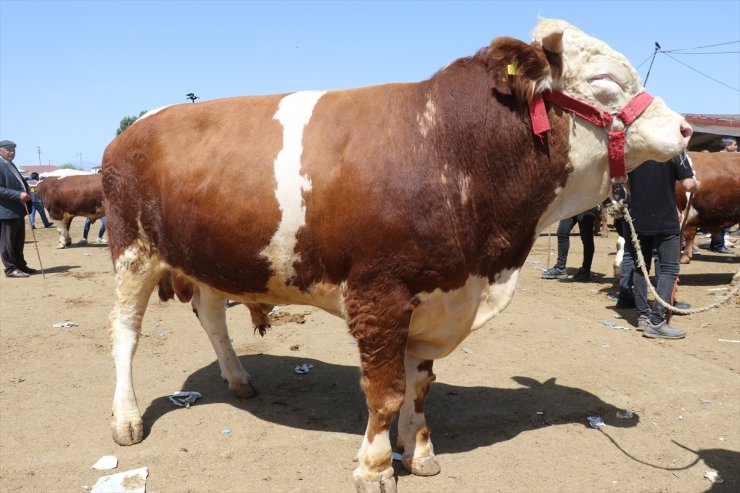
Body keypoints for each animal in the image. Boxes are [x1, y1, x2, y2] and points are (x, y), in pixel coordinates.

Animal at [101, 20, 692, 492]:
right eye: (606, 81)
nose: (685, 128)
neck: (448, 148)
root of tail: (135, 128)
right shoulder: (380, 296)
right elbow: (385, 392)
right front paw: (377, 466)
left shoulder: (435, 294)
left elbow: (420, 384)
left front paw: (420, 450)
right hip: (133, 252)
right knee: (126, 332)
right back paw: (126, 418)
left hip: (208, 257)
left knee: (212, 316)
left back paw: (239, 379)